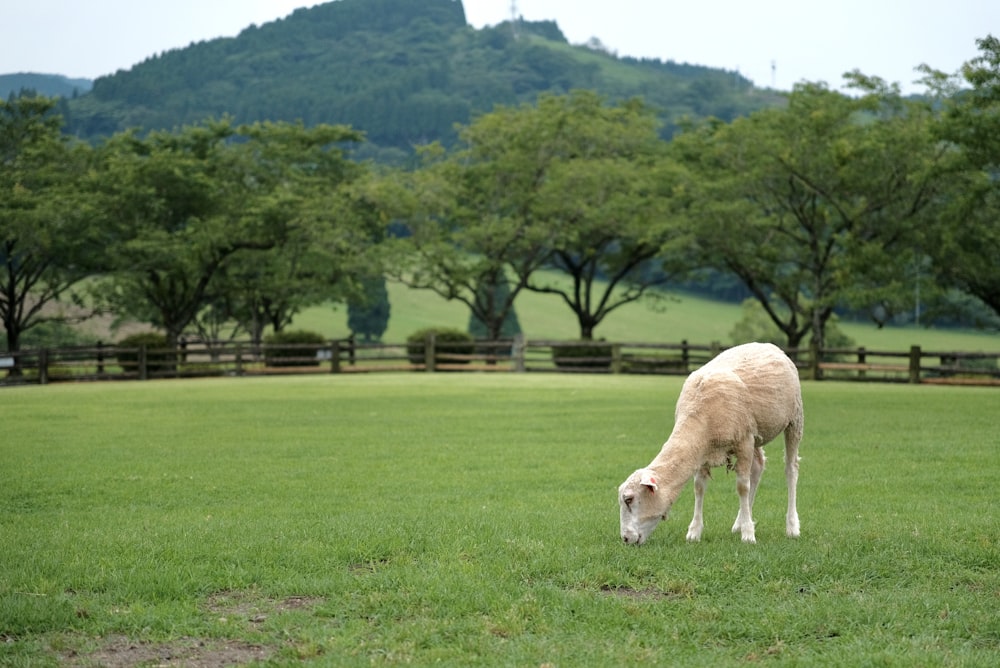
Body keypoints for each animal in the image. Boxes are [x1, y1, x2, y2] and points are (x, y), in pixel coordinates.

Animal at [616, 342, 804, 544]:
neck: (699, 416)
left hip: (794, 419)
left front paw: (748, 535)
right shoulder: (702, 450)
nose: (625, 538)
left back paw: (791, 526)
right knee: (758, 467)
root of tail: (767, 345)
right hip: (757, 433)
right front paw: (694, 532)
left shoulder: (743, 442)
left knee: (791, 469)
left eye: (629, 499)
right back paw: (740, 522)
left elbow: (742, 487)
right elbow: (699, 487)